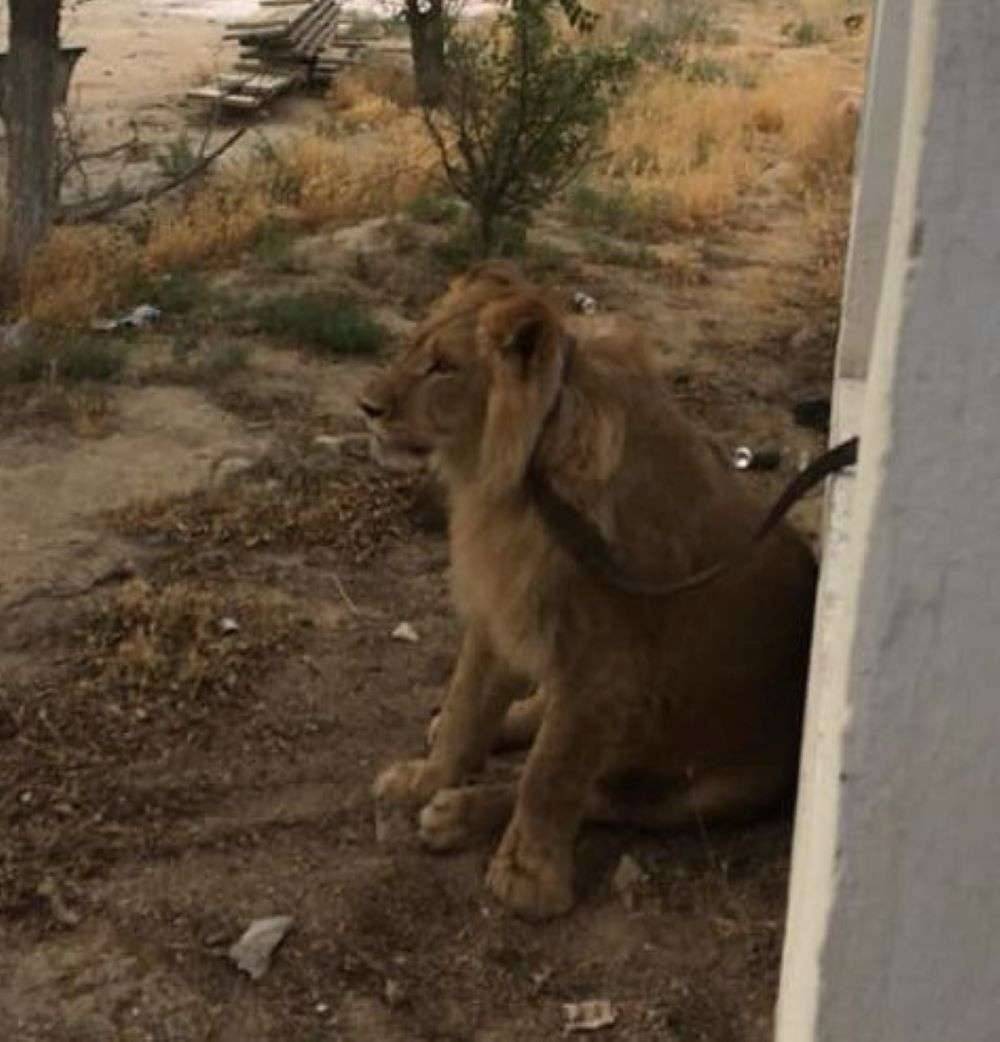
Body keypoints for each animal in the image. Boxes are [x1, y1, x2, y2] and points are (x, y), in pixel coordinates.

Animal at [362, 262, 816, 921]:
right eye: (412, 345)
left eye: (444, 366)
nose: (365, 406)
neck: (514, 485)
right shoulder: (500, 609)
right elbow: (466, 709)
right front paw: (426, 778)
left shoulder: (605, 663)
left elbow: (550, 776)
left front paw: (527, 877)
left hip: (710, 790)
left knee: (602, 795)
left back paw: (463, 813)